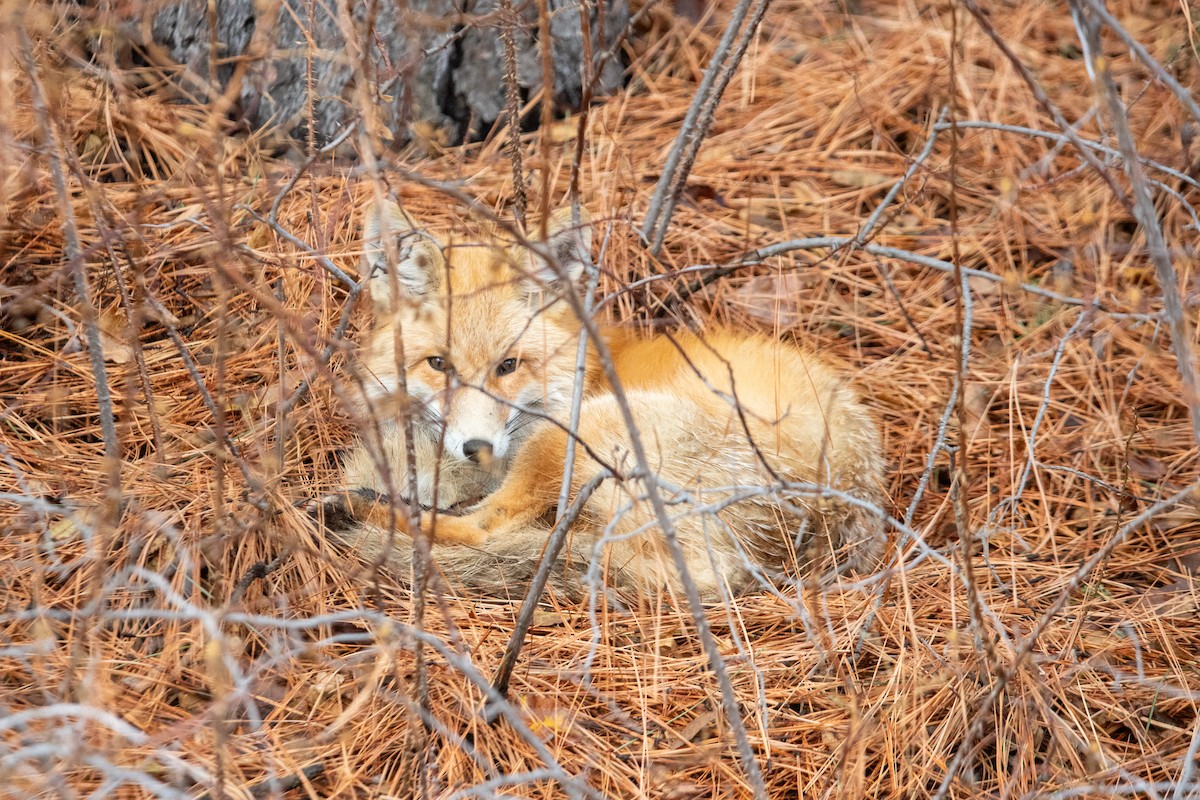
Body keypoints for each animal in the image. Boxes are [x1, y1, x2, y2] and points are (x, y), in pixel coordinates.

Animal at [323, 197, 887, 600]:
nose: (476, 448)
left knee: (485, 528)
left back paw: (358, 509)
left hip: (575, 438)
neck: (582, 369)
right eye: (438, 364)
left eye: (508, 365)